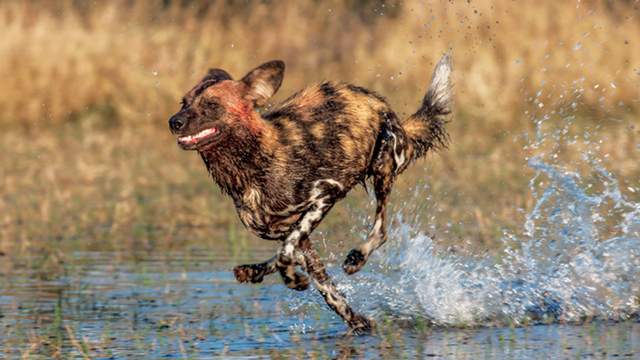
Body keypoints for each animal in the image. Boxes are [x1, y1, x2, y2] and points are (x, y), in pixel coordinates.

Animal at [168, 53, 452, 332]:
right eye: (184, 102)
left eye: (212, 105)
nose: (174, 122)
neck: (252, 163)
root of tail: (378, 100)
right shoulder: (285, 231)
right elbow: (321, 282)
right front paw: (354, 320)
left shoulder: (325, 195)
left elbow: (286, 253)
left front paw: (293, 280)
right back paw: (253, 271)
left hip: (383, 164)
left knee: (381, 230)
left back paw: (357, 257)